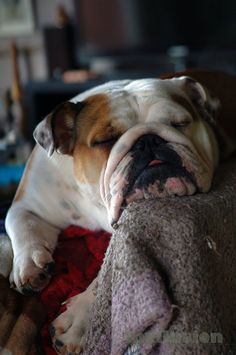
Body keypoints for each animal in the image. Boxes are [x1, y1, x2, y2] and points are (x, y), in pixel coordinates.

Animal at [4, 69, 235, 354]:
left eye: (180, 123)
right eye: (104, 140)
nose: (149, 140)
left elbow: (108, 275)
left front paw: (80, 318)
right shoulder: (27, 203)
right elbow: (19, 223)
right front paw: (28, 265)